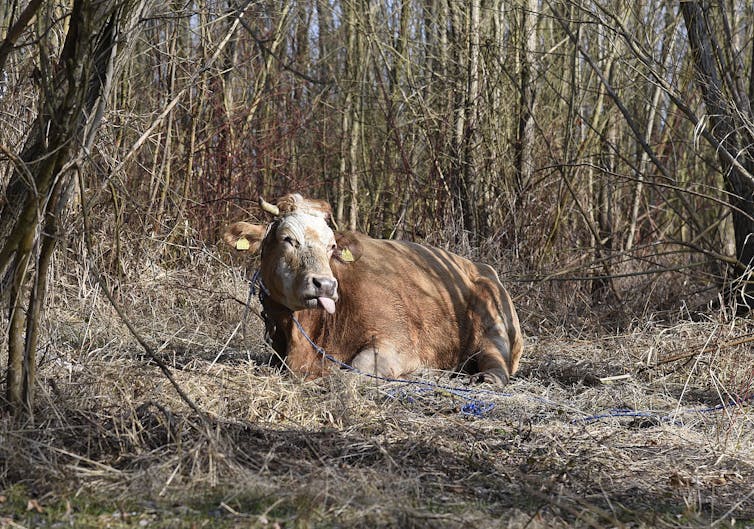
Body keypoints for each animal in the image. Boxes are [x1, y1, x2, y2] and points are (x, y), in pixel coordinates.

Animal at [223, 194, 524, 384]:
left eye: (332, 246)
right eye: (288, 239)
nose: (325, 284)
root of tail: (481, 267)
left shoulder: (397, 344)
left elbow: (354, 370)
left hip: (494, 327)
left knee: (495, 363)